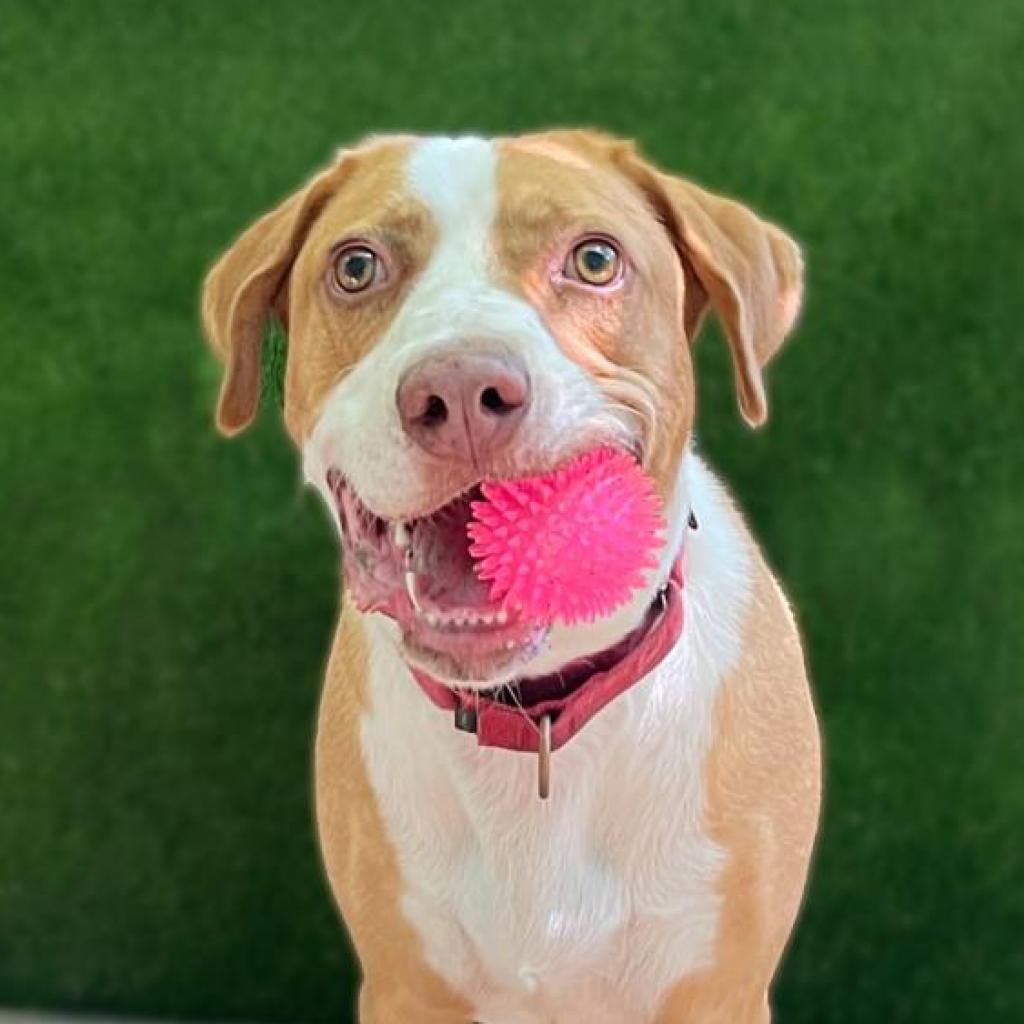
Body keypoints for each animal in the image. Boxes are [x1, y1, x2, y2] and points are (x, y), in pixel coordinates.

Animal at [199, 132, 823, 1019]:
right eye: (356, 266)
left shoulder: (719, 989)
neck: (537, 715)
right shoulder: (404, 985)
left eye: (595, 259)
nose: (461, 390)